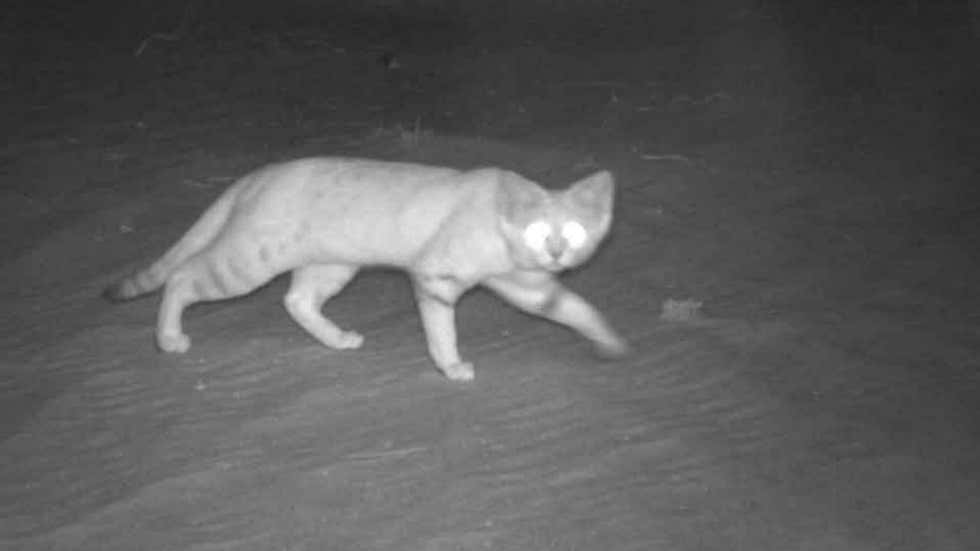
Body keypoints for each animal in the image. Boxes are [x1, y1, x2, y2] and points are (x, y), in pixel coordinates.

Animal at [103, 157, 628, 382]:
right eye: (540, 231)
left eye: (574, 231)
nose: (557, 253)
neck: (498, 223)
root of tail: (257, 176)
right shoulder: (435, 279)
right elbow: (442, 331)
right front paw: (452, 366)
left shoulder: (526, 285)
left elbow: (574, 308)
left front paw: (610, 342)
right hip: (246, 263)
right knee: (182, 277)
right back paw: (169, 338)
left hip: (331, 264)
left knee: (297, 300)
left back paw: (337, 339)